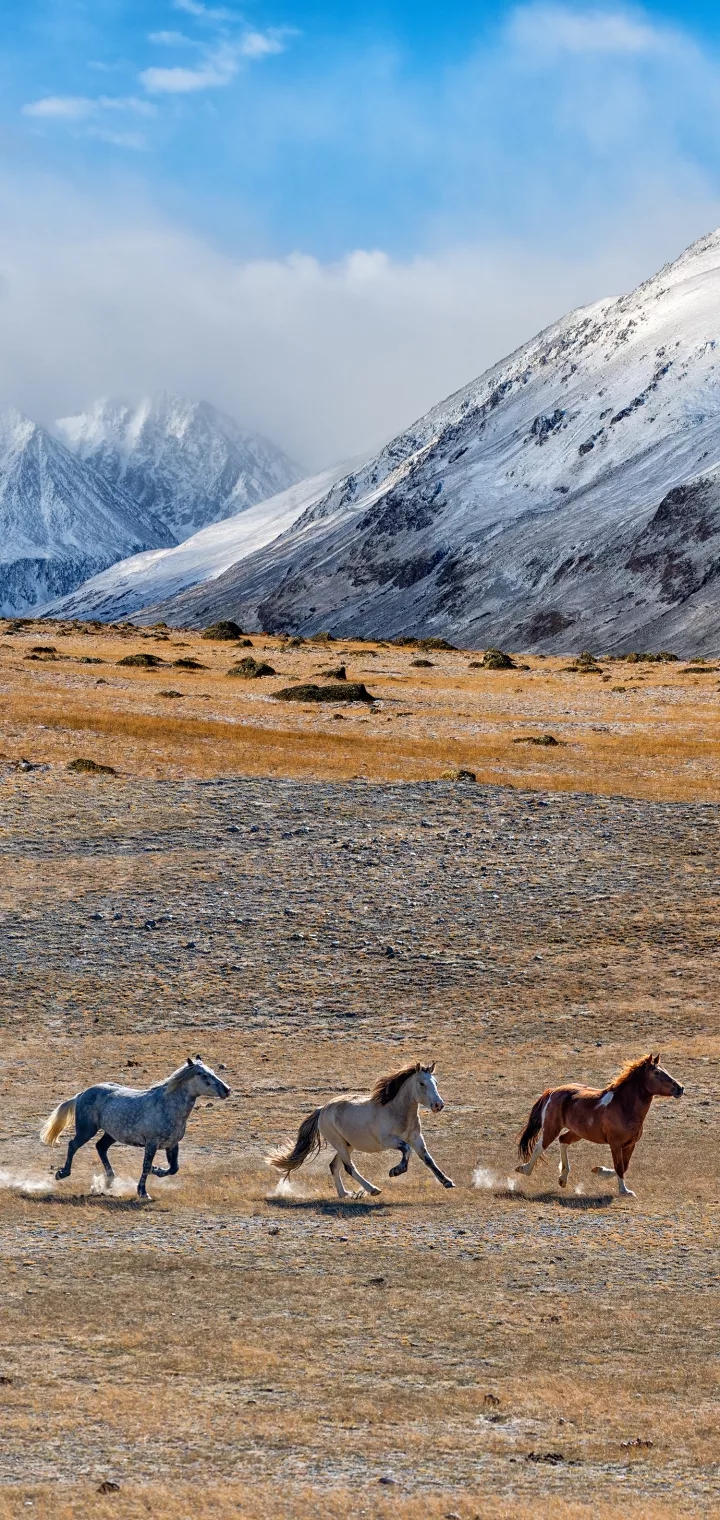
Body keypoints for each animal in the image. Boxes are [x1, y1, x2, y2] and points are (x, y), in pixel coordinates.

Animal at [40, 1055, 230, 1199]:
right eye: (203, 1075)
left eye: (213, 1072)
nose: (227, 1089)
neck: (167, 1106)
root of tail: (82, 1094)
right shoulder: (151, 1143)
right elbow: (146, 1166)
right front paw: (143, 1192)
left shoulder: (172, 1144)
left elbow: (174, 1168)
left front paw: (157, 1170)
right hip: (87, 1130)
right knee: (73, 1145)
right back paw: (62, 1173)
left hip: (111, 1134)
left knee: (100, 1147)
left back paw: (109, 1180)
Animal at [268, 1061, 454, 1198]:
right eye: (422, 1083)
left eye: (436, 1083)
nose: (438, 1105)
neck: (396, 1111)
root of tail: (323, 1109)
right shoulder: (388, 1141)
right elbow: (406, 1150)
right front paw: (396, 1171)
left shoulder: (416, 1138)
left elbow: (428, 1159)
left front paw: (447, 1181)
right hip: (339, 1144)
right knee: (349, 1168)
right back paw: (373, 1190)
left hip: (347, 1145)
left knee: (334, 1166)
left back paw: (344, 1194)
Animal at [516, 1053, 683, 1197]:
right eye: (656, 1072)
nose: (680, 1088)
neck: (624, 1106)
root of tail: (553, 1091)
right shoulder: (615, 1143)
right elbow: (619, 1166)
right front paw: (625, 1191)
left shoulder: (630, 1144)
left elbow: (624, 1166)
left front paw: (599, 1170)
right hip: (552, 1128)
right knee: (539, 1147)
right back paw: (524, 1169)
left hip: (578, 1132)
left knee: (563, 1140)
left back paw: (563, 1178)